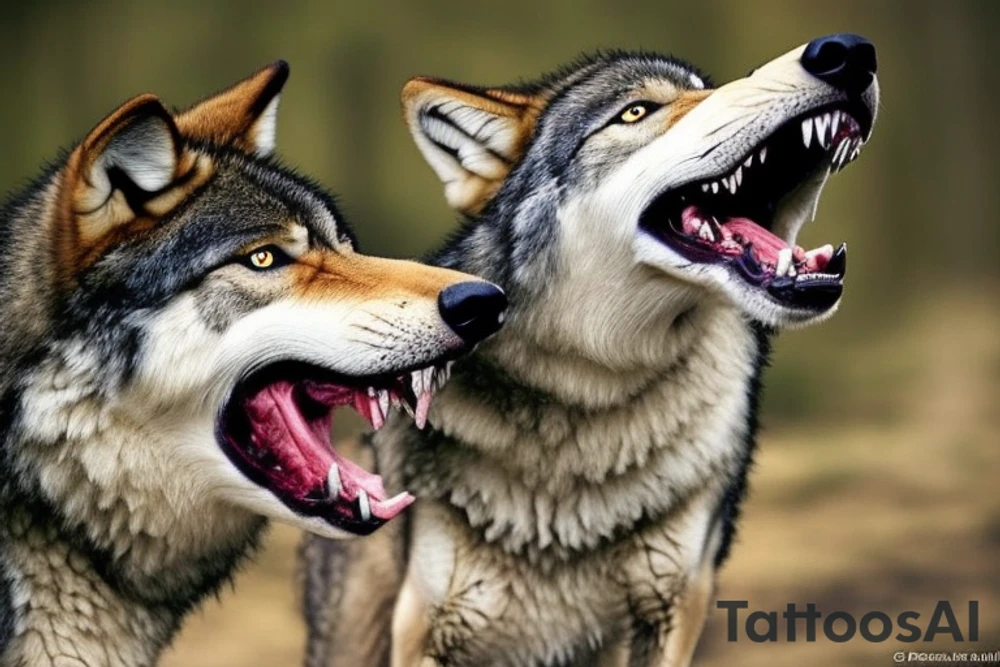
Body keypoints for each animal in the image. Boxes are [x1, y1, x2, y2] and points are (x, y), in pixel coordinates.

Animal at [300, 34, 879, 667]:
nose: (846, 50)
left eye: (706, 89)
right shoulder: (425, 626)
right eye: (636, 111)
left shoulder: (674, 606)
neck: (591, 386)